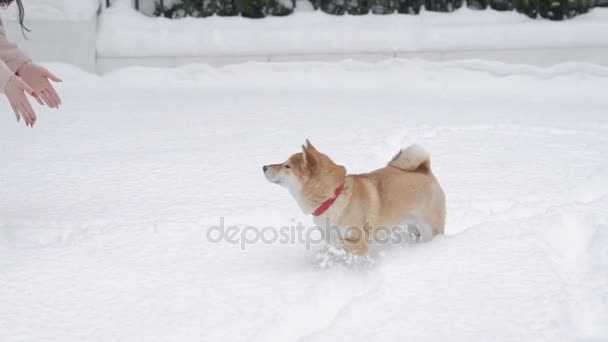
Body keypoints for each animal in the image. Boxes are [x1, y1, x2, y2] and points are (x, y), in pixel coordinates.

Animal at [262, 140, 446, 255]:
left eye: (287, 166)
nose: (264, 167)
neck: (333, 198)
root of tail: (424, 170)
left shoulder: (357, 241)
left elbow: (346, 247)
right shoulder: (328, 236)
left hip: (429, 228)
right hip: (412, 226)